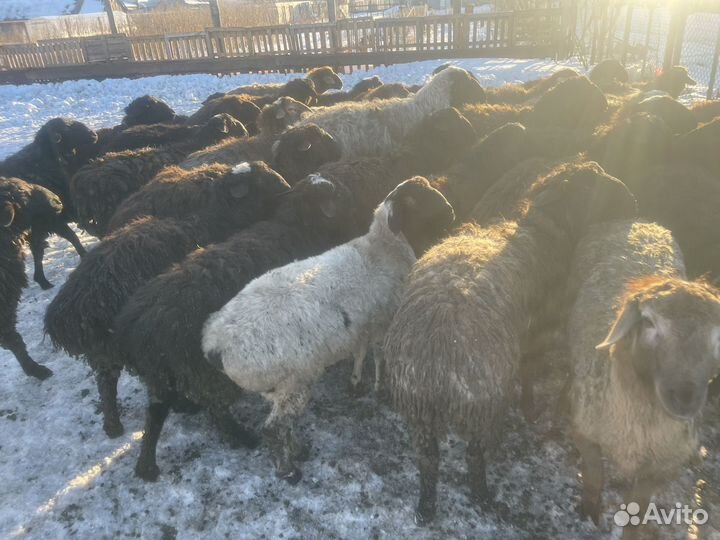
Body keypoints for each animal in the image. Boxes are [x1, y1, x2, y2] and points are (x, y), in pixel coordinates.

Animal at [45, 161, 290, 438]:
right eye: (261, 183)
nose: (288, 189)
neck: (212, 217)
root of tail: (68, 312)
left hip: (106, 353)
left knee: (106, 383)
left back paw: (113, 425)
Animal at [112, 174, 375, 481]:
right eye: (339, 196)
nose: (364, 207)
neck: (296, 228)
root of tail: (138, 326)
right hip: (204, 371)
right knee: (214, 409)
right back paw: (243, 436)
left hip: (161, 376)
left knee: (155, 413)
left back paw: (147, 466)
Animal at [202, 177, 455, 482]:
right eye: (417, 200)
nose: (452, 213)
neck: (382, 249)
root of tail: (215, 344)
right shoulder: (383, 322)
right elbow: (378, 355)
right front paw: (378, 388)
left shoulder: (363, 324)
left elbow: (360, 351)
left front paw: (356, 382)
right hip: (294, 381)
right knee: (274, 428)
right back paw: (288, 469)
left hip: (281, 386)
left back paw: (297, 451)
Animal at [384, 162, 637, 525]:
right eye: (596, 185)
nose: (633, 203)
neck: (543, 229)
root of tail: (437, 356)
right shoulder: (537, 331)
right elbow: (529, 370)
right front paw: (531, 409)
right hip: (480, 406)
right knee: (474, 455)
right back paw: (483, 496)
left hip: (419, 412)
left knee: (428, 459)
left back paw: (426, 507)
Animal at [567, 219, 720, 533]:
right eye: (648, 322)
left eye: (718, 335)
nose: (685, 398)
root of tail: (638, 221)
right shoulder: (585, 431)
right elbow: (594, 475)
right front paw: (589, 511)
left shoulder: (663, 467)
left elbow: (637, 508)